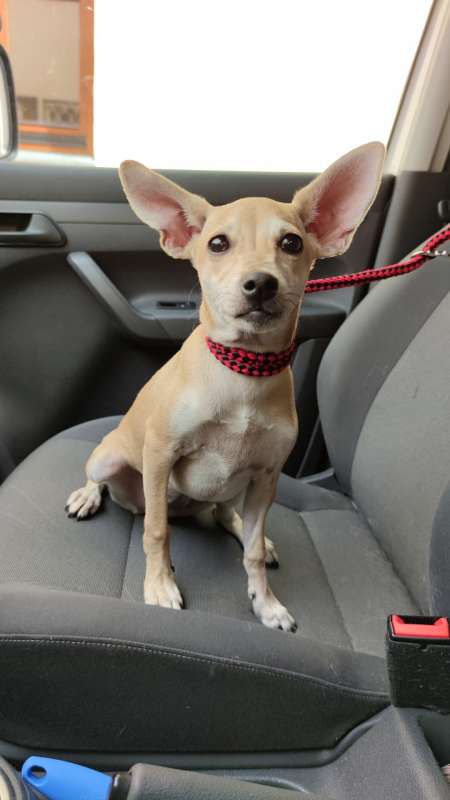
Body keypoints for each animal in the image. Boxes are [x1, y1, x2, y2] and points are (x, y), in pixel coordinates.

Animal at [66, 142, 385, 631]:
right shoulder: (160, 454)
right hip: (110, 458)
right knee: (113, 487)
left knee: (224, 514)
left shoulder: (267, 476)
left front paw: (266, 602)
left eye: (291, 242)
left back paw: (252, 535)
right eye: (217, 243)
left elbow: (249, 552)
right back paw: (87, 495)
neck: (244, 372)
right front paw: (160, 585)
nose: (260, 283)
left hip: (241, 487)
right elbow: (156, 531)